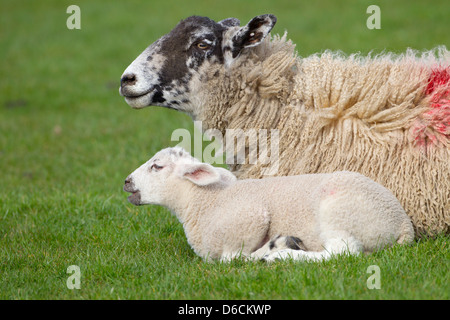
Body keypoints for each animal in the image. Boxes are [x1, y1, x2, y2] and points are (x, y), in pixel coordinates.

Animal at [123, 146, 414, 262]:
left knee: (343, 253)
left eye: (157, 167)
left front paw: (273, 248)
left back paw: (284, 256)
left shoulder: (249, 218)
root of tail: (403, 225)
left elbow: (234, 259)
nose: (126, 182)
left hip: (340, 212)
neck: (204, 201)